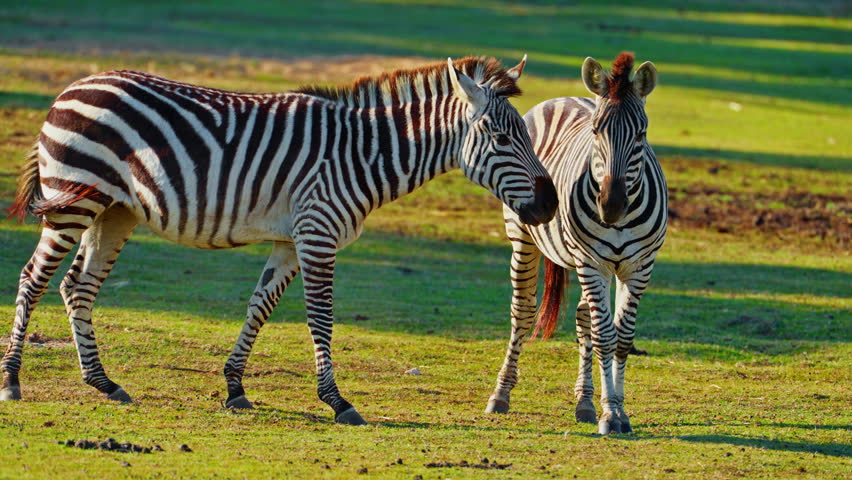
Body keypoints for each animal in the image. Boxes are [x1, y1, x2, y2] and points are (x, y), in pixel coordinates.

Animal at [2, 56, 558, 425]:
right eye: (503, 138)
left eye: (525, 135)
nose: (550, 205)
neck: (363, 154)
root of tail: (73, 86)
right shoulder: (318, 234)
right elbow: (320, 317)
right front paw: (338, 401)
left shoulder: (293, 240)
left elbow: (260, 307)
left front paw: (234, 387)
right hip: (73, 202)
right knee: (32, 280)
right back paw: (12, 382)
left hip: (113, 211)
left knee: (77, 287)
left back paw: (103, 382)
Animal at [484, 52, 666, 434]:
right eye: (596, 131)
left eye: (641, 134)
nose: (611, 205)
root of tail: (563, 98)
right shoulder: (592, 263)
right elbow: (605, 337)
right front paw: (611, 414)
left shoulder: (639, 267)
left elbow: (621, 338)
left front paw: (617, 411)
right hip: (525, 237)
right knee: (523, 312)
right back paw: (501, 395)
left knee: (584, 318)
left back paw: (584, 402)